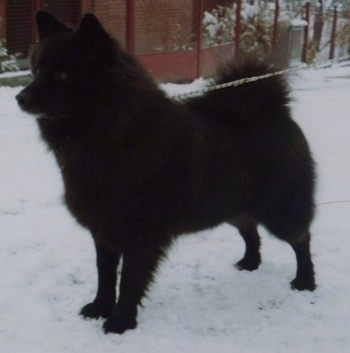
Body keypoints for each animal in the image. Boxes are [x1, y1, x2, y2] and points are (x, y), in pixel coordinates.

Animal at [16, 11, 318, 332]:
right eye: (37, 70)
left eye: (62, 74)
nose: (19, 98)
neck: (115, 136)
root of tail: (277, 111)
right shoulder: (104, 229)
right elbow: (105, 274)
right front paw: (100, 307)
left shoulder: (140, 234)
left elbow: (129, 281)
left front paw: (120, 321)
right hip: (232, 205)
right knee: (251, 231)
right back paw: (250, 263)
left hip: (280, 210)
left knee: (301, 239)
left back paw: (305, 281)